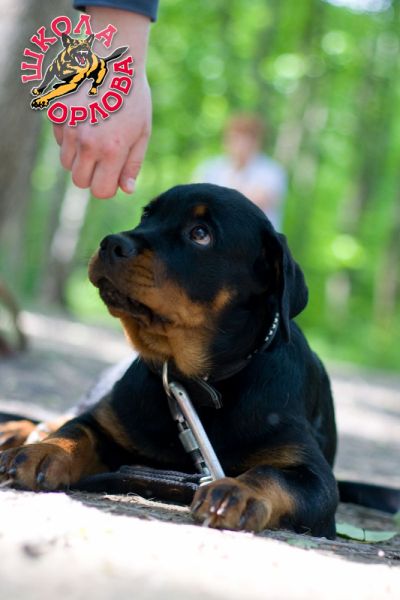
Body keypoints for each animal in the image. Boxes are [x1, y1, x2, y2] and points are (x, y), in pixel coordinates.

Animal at [0, 183, 350, 537]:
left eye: (200, 234)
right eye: (146, 215)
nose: (111, 243)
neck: (202, 384)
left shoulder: (315, 478)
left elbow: (271, 474)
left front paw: (238, 491)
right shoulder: (106, 421)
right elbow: (75, 431)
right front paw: (46, 451)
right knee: (61, 416)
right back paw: (18, 432)